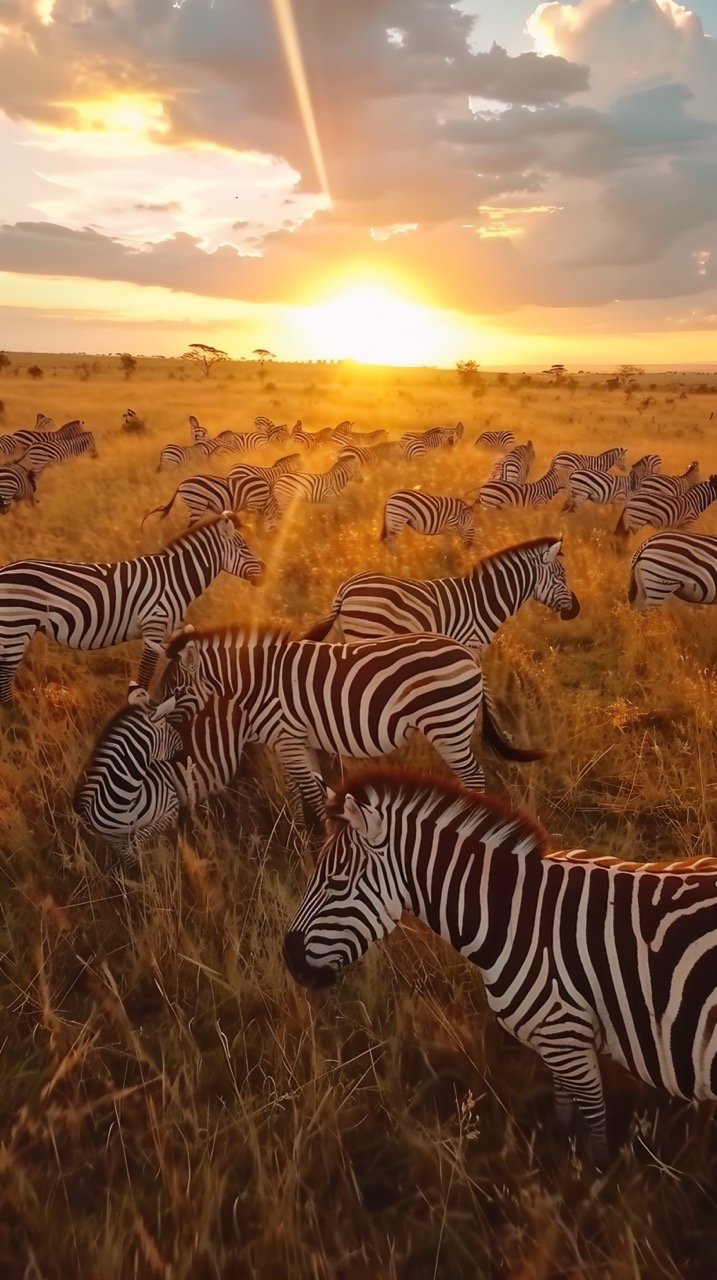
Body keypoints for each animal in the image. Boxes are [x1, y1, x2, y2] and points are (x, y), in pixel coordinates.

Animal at [0, 514, 263, 706]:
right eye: (243, 547)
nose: (265, 573)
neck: (174, 580)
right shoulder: (153, 628)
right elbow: (145, 678)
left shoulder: (173, 628)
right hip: (16, 630)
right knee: (4, 683)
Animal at [149, 629, 542, 829]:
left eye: (174, 689)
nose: (156, 718)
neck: (256, 681)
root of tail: (464, 651)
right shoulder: (298, 741)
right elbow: (305, 792)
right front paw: (307, 837)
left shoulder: (287, 739)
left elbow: (309, 794)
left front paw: (319, 843)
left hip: (447, 725)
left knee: (473, 776)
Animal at [284, 762, 717, 1167]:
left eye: (337, 883)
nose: (289, 959)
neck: (514, 917)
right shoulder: (558, 1040)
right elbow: (564, 1107)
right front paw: (560, 1156)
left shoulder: (564, 1031)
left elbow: (594, 1121)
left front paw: (590, 1175)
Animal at [304, 532, 578, 645]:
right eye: (561, 577)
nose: (576, 609)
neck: (484, 599)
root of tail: (347, 587)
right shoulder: (471, 645)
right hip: (366, 633)